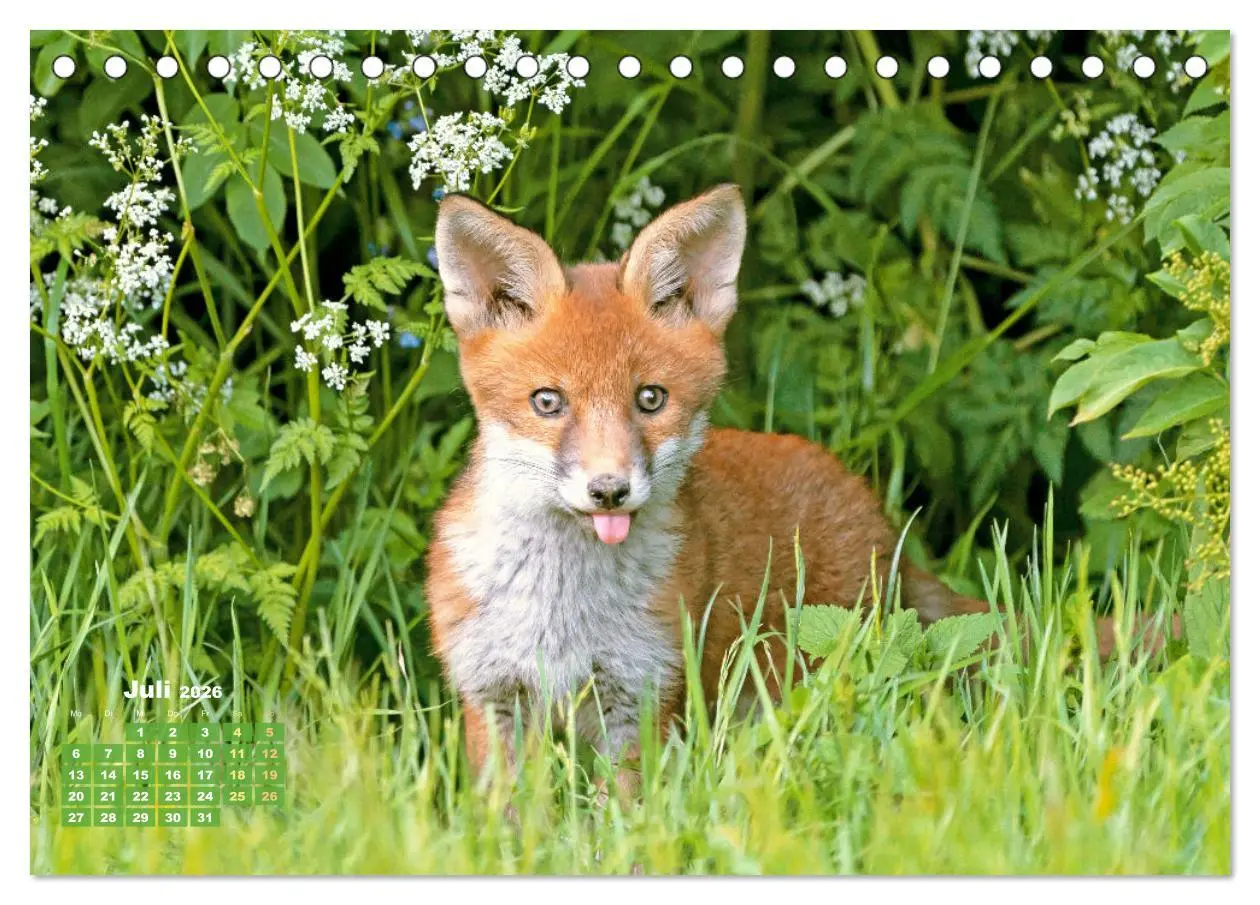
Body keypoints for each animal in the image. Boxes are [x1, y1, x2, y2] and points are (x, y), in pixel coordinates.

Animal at [424, 184, 1165, 793]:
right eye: (547, 402)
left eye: (650, 399)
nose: (609, 490)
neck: (562, 611)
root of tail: (876, 517)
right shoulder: (494, 696)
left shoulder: (639, 698)